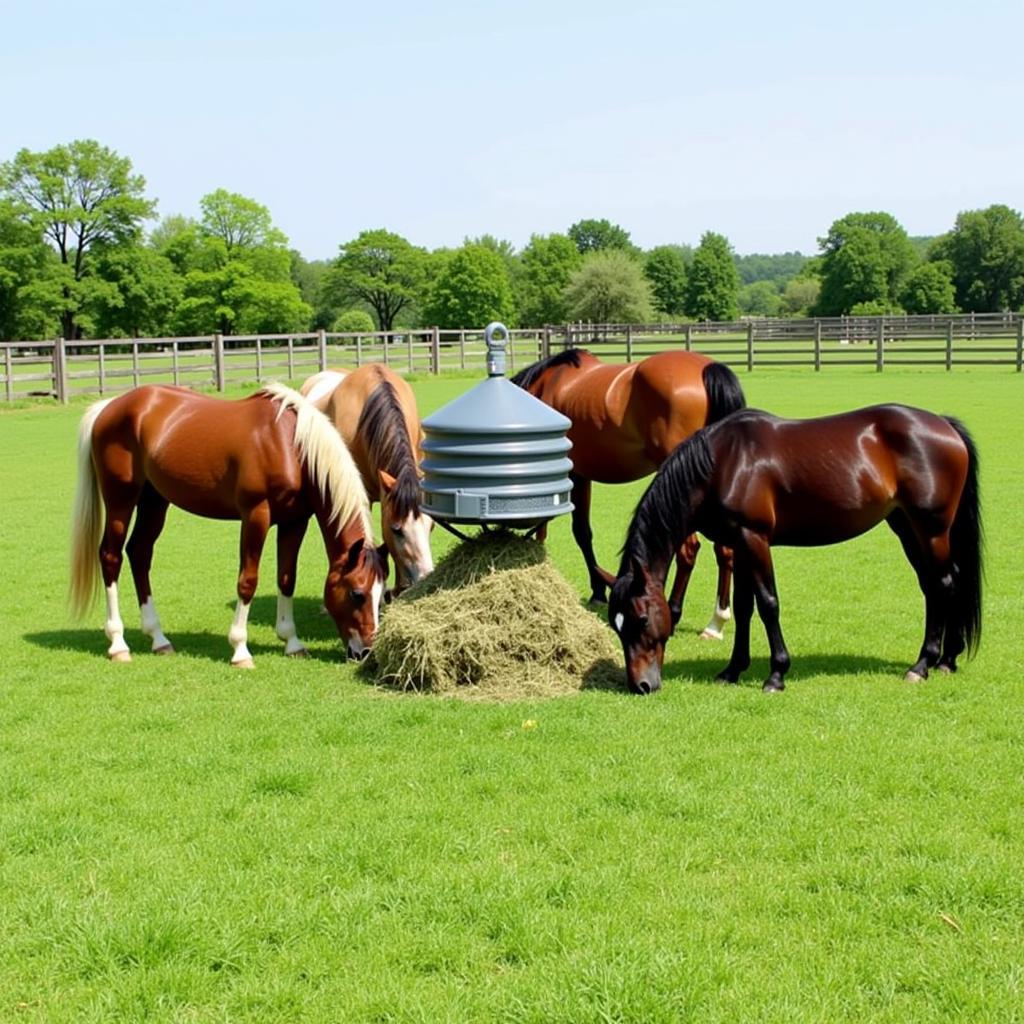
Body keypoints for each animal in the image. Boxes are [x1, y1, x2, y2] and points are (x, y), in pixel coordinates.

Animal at [68, 382, 387, 663]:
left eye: (381, 594)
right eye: (357, 594)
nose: (365, 651)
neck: (290, 446)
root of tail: (108, 407)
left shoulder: (295, 521)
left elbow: (287, 578)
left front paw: (292, 643)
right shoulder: (256, 516)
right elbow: (248, 580)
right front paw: (240, 649)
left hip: (154, 500)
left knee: (140, 552)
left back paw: (158, 639)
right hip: (121, 499)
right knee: (111, 557)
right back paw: (118, 644)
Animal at [512, 348, 745, 634]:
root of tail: (706, 369)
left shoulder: (575, 474)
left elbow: (579, 532)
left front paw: (597, 591)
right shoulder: (581, 476)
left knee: (688, 549)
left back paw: (674, 610)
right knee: (725, 550)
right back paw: (717, 621)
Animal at [602, 407, 978, 696]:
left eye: (641, 619)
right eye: (615, 626)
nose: (641, 686)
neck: (725, 462)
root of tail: (944, 425)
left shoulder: (754, 538)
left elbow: (768, 604)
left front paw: (776, 675)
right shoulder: (739, 543)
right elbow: (744, 607)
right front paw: (733, 669)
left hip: (931, 530)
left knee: (943, 584)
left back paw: (924, 664)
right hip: (905, 526)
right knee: (938, 585)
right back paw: (947, 659)